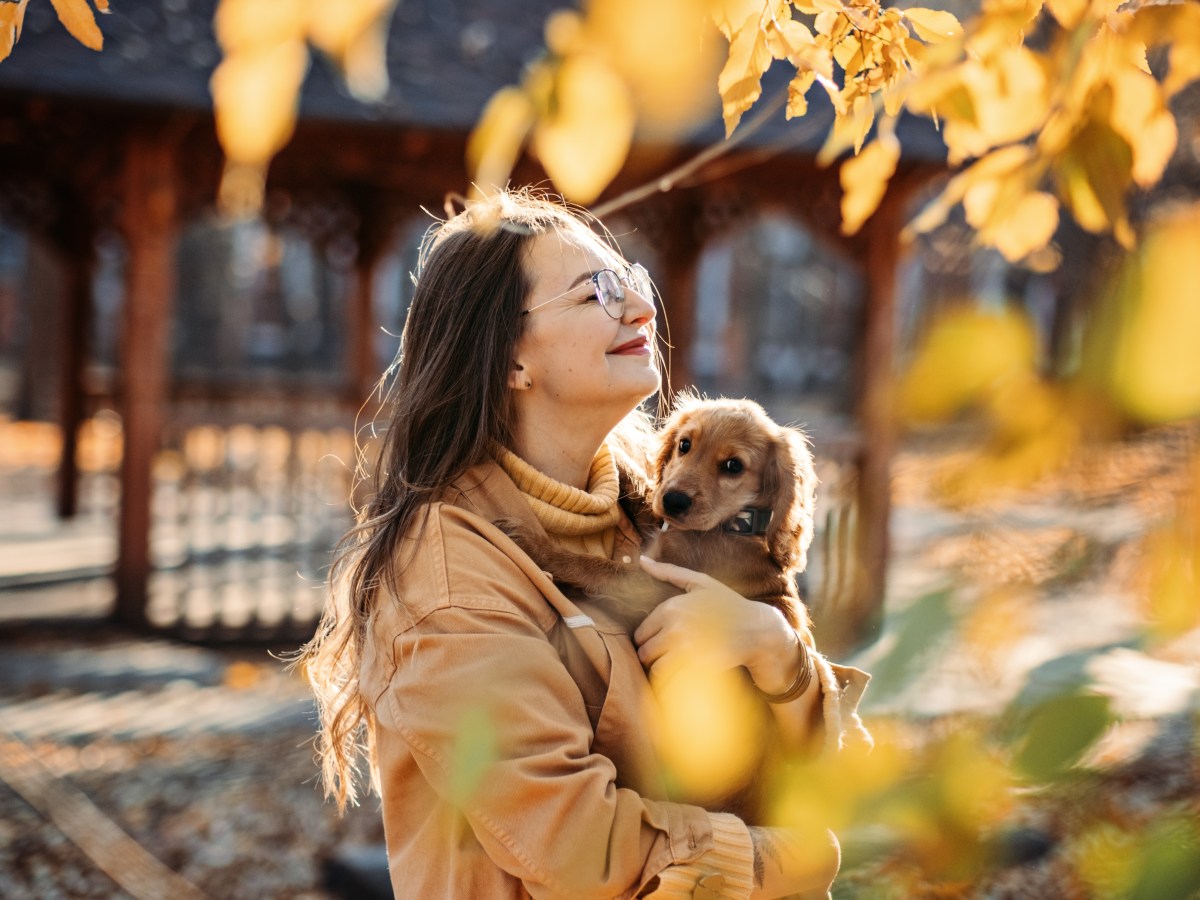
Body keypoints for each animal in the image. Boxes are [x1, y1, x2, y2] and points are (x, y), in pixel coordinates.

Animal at [501, 396, 820, 643]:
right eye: (684, 445)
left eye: (734, 466)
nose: (674, 501)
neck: (730, 527)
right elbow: (643, 496)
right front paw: (617, 457)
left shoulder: (661, 591)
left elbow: (602, 569)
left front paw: (537, 546)